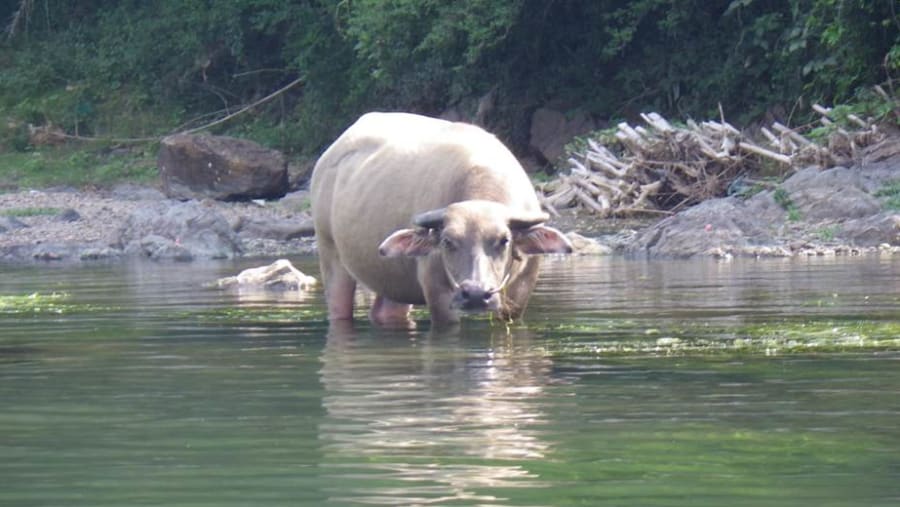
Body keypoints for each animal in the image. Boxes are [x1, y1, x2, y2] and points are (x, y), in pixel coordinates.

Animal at [311, 112, 572, 326]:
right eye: (447, 241)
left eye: (504, 240)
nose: (475, 294)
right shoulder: (438, 294)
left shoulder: (519, 295)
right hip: (329, 253)